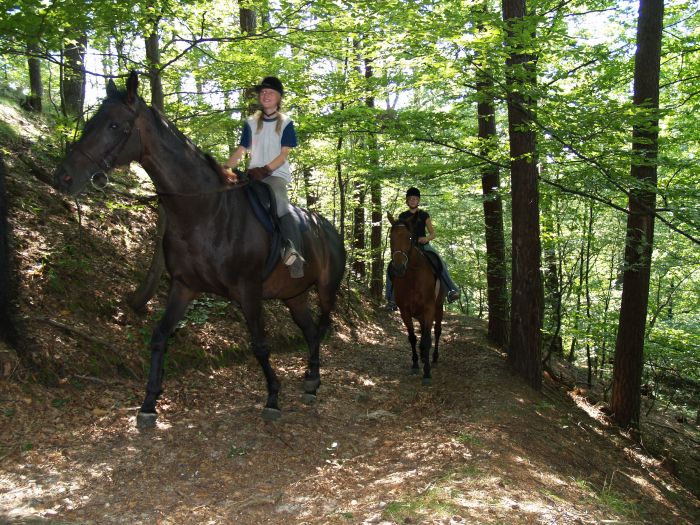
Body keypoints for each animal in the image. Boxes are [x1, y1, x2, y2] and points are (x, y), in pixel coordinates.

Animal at [53, 72, 346, 426]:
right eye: (91, 121)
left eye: (113, 125)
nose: (63, 177)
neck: (205, 212)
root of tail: (328, 229)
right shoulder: (183, 286)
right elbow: (160, 336)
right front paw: (149, 403)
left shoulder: (248, 290)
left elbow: (260, 345)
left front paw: (273, 397)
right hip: (294, 295)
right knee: (311, 332)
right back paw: (310, 382)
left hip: (326, 289)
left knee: (322, 326)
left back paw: (314, 380)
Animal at [386, 210, 446, 384]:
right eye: (391, 237)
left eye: (410, 238)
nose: (399, 268)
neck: (413, 277)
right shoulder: (405, 311)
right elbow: (412, 337)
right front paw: (415, 364)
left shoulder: (429, 309)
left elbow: (426, 340)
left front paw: (427, 373)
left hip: (438, 308)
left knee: (437, 331)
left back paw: (434, 358)